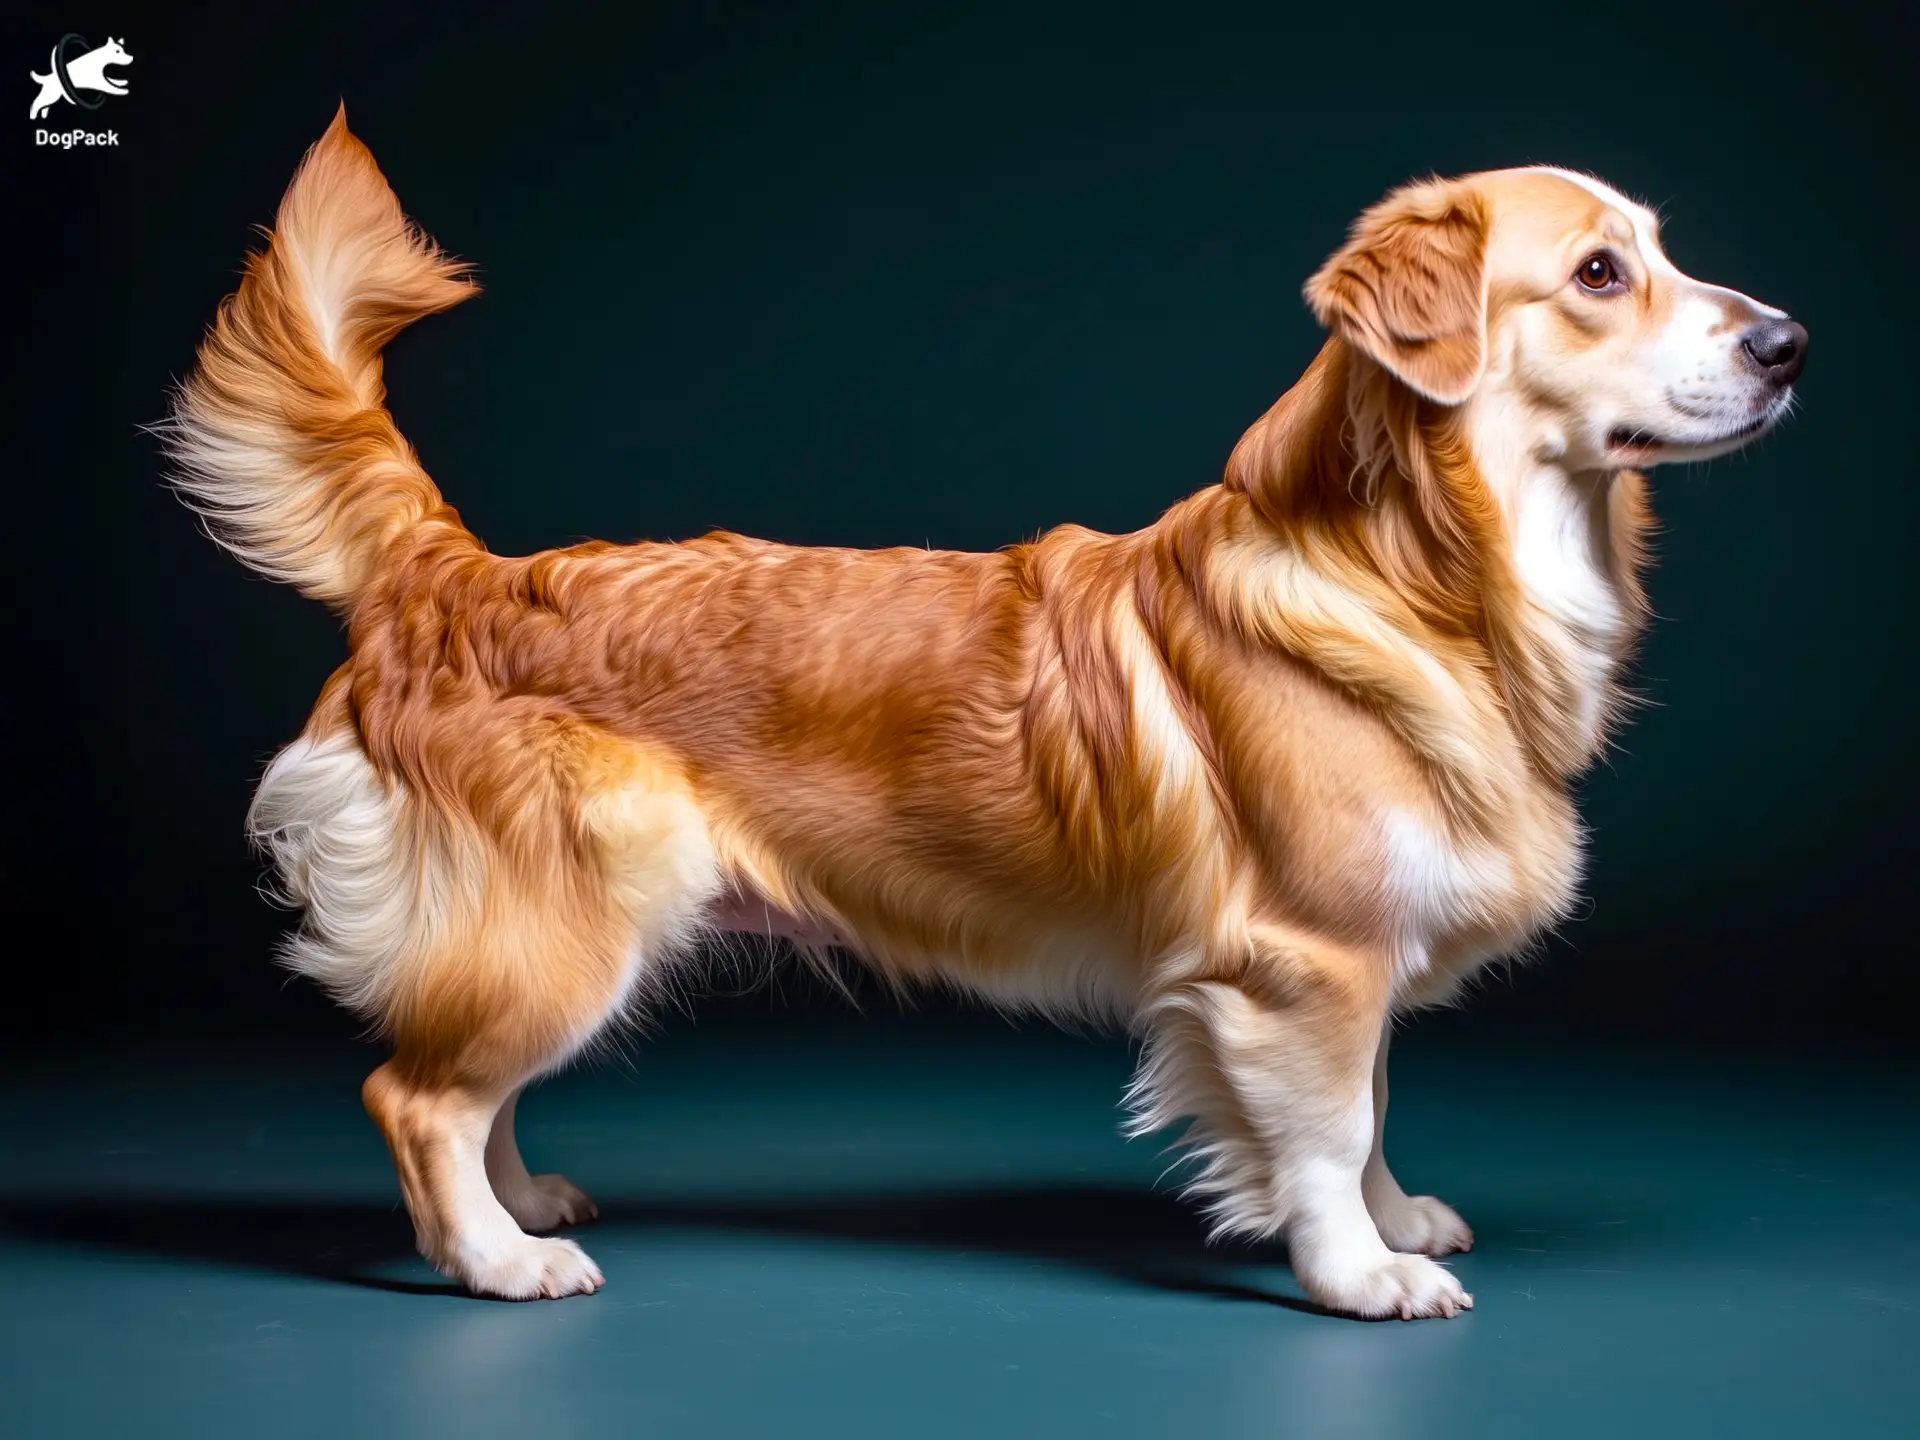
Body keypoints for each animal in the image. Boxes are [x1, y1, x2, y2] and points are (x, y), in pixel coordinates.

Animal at [161, 109, 1797, 1320]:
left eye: (1662, 253)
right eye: (1599, 274)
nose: (1788, 341)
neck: (1419, 570)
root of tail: (454, 577)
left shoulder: (1360, 950)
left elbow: (1377, 1103)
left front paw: (1397, 1221)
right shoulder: (1303, 961)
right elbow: (1330, 1127)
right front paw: (1358, 1271)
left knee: (464, 1075)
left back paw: (520, 1201)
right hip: (576, 911)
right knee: (414, 1092)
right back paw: (495, 1257)